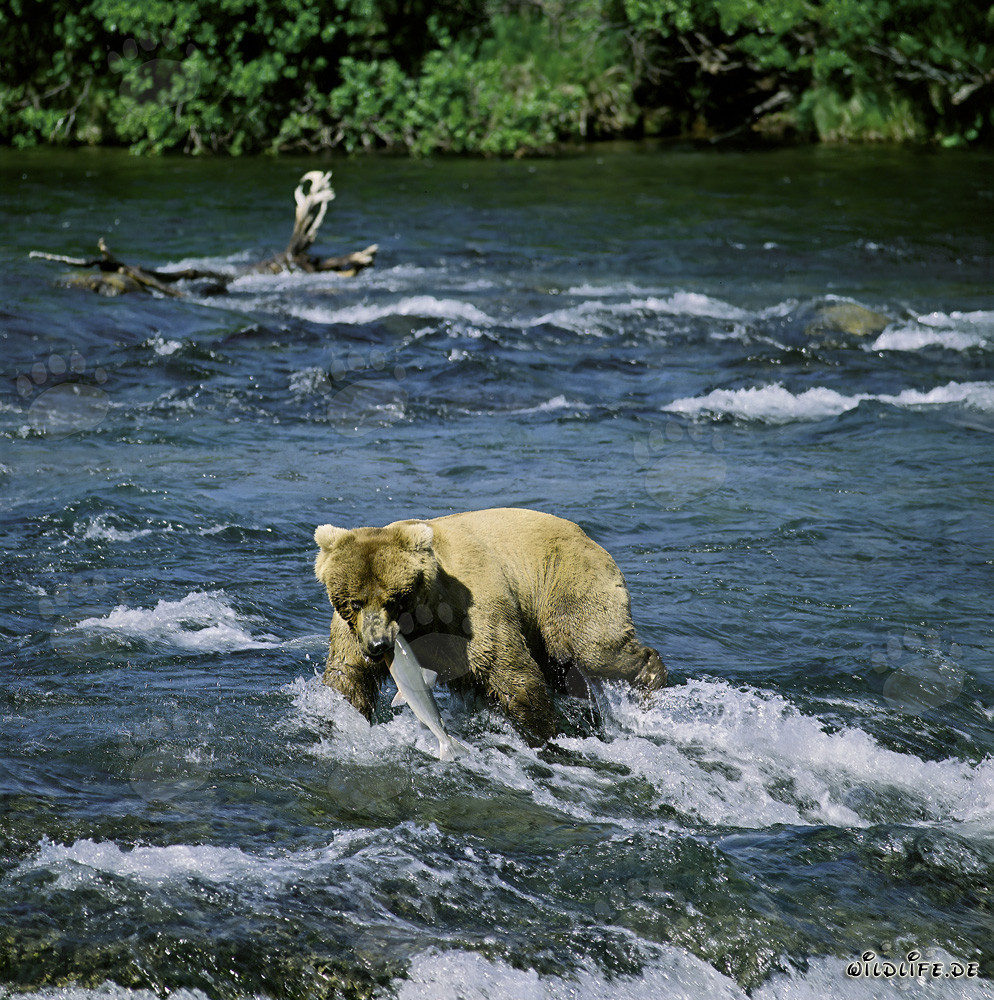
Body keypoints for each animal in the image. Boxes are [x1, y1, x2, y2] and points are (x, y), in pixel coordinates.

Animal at [313, 507, 666, 744]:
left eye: (394, 600)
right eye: (355, 601)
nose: (379, 645)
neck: (423, 617)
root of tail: (590, 538)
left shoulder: (470, 612)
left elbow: (511, 674)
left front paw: (542, 733)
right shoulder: (350, 632)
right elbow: (348, 678)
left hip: (567, 582)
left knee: (593, 648)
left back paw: (649, 682)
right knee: (564, 668)